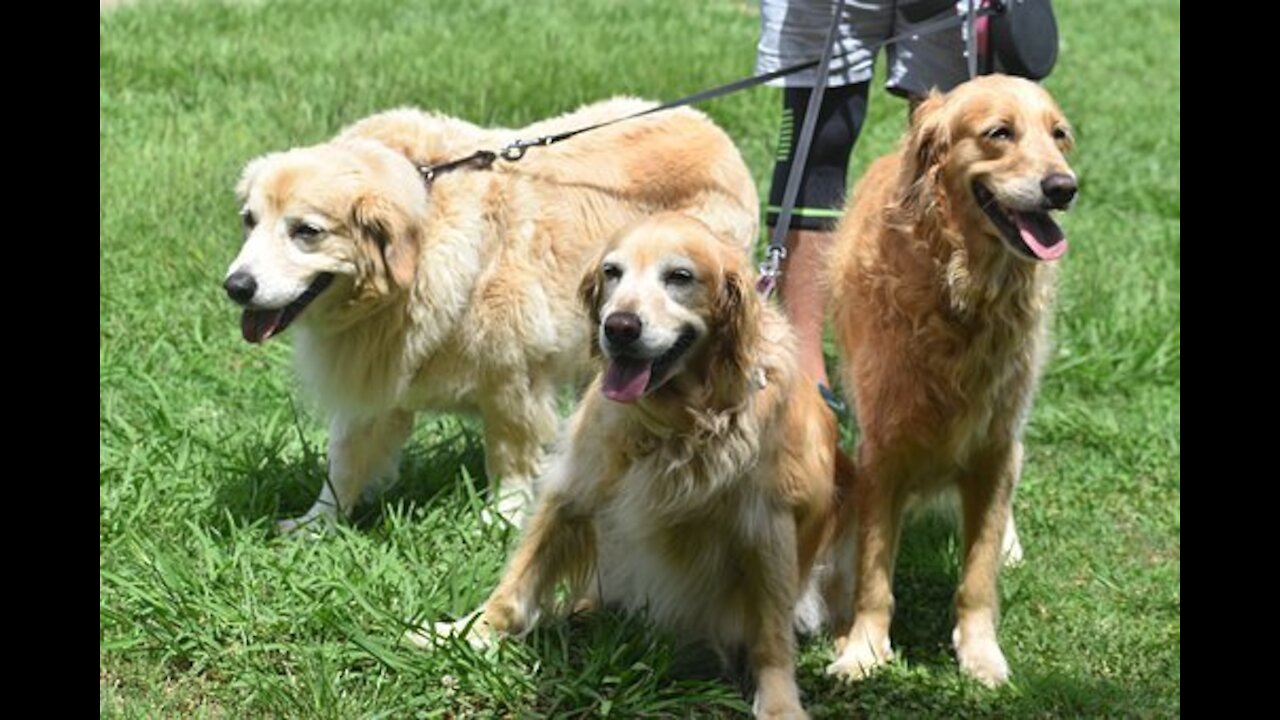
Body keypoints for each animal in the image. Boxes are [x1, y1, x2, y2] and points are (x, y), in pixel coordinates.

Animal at [222, 98, 757, 527]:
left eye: (306, 232)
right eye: (250, 220)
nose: (236, 287)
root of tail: (705, 126)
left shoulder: (512, 378)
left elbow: (509, 455)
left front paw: (502, 517)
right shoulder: (378, 375)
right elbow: (345, 459)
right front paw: (316, 525)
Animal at [419, 213, 855, 717]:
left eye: (680, 276)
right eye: (612, 272)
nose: (619, 327)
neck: (678, 423)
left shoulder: (767, 526)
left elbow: (770, 634)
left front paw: (781, 702)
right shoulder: (573, 487)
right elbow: (518, 581)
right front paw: (466, 632)